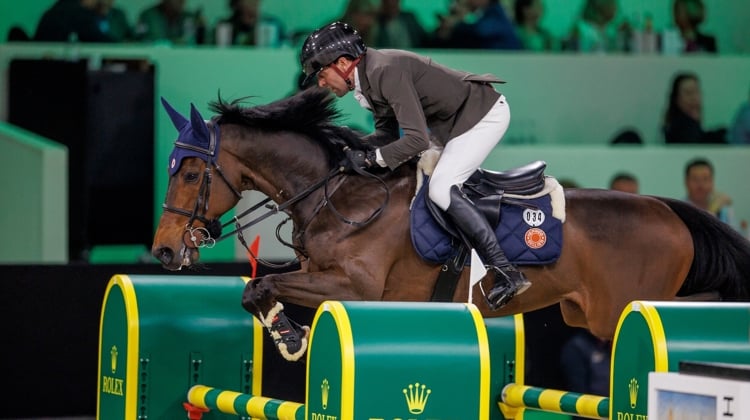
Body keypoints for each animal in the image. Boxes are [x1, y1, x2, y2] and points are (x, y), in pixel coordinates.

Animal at [151, 88, 750, 360]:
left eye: (191, 173)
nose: (162, 252)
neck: (335, 193)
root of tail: (667, 208)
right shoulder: (321, 274)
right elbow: (256, 287)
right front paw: (288, 335)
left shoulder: (354, 286)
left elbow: (265, 285)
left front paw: (291, 336)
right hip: (587, 313)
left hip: (623, 309)